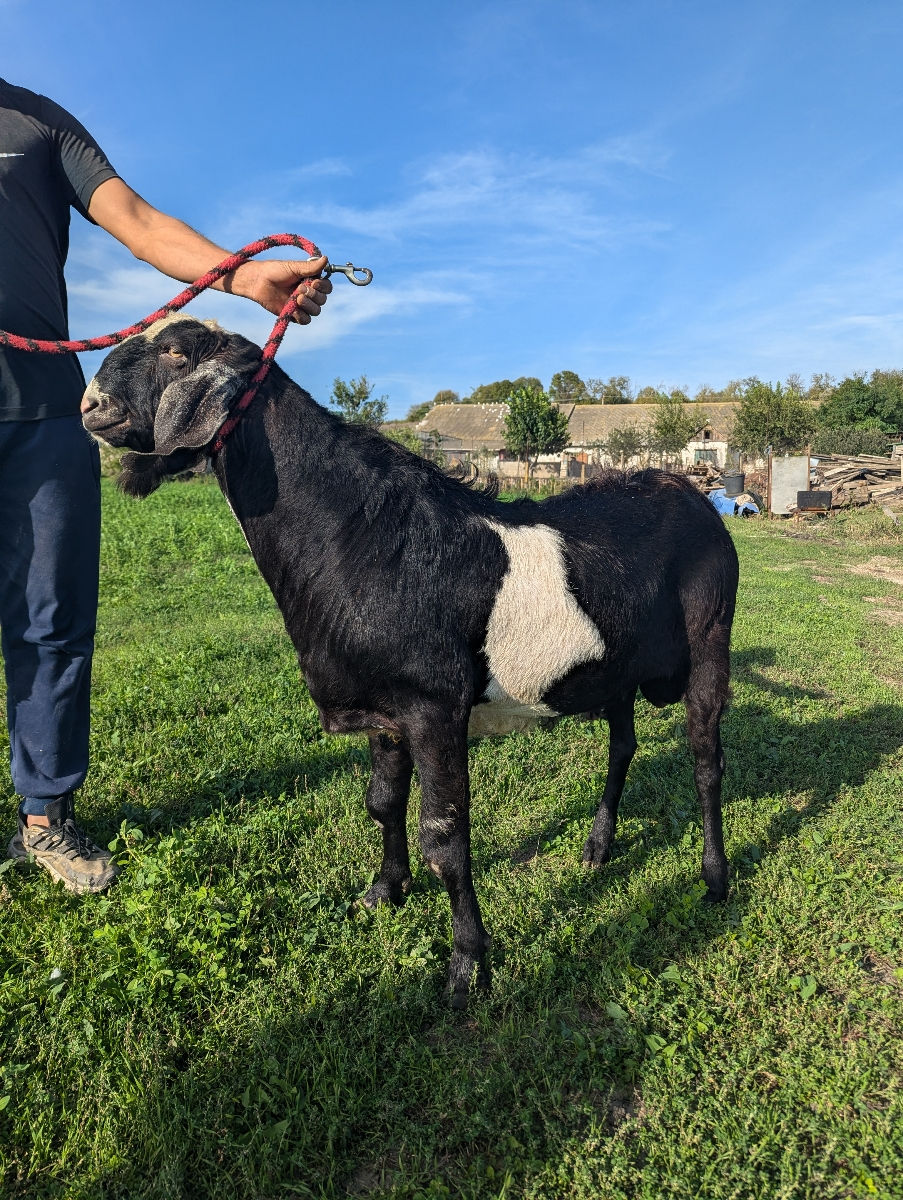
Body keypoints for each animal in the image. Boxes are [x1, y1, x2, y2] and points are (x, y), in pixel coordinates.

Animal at [79, 316, 739, 1003]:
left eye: (176, 352)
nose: (90, 405)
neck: (363, 538)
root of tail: (692, 494)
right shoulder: (384, 711)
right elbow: (381, 803)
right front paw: (384, 891)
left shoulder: (434, 709)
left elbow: (444, 837)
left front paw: (467, 964)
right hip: (615, 665)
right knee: (623, 744)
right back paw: (598, 847)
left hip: (711, 635)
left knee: (705, 757)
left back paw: (715, 878)